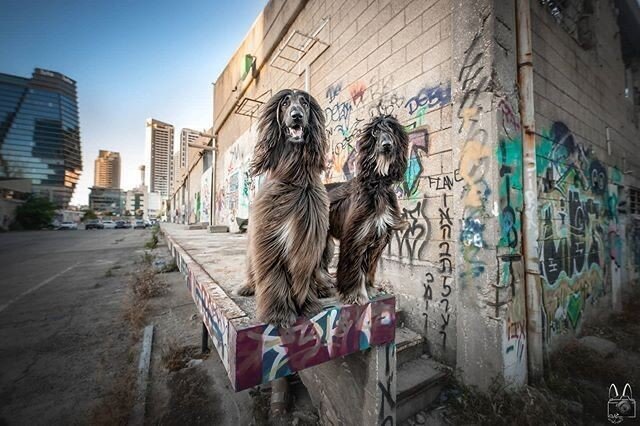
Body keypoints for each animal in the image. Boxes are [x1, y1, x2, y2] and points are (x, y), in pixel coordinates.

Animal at [238, 89, 332, 326]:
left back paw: (323, 288)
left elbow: (304, 276)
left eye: (305, 103)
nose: (296, 116)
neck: (294, 178)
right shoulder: (268, 239)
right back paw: (248, 287)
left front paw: (308, 305)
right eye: (285, 103)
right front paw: (278, 313)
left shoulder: (308, 240)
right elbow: (274, 276)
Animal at [322, 115, 408, 304]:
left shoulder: (377, 238)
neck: (376, 186)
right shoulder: (356, 236)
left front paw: (370, 290)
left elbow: (369, 267)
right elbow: (354, 267)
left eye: (392, 130)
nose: (387, 145)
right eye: (375, 132)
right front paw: (355, 295)